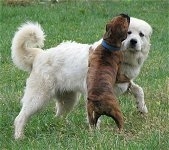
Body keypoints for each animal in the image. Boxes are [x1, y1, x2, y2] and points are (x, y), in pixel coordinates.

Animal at [11, 17, 152, 139]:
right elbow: (95, 117)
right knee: (20, 118)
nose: (133, 41)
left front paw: (142, 108)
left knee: (58, 117)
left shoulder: (124, 84)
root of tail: (39, 54)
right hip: (38, 98)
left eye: (141, 34)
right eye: (129, 32)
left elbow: (139, 90)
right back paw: (19, 137)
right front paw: (96, 135)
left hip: (68, 100)